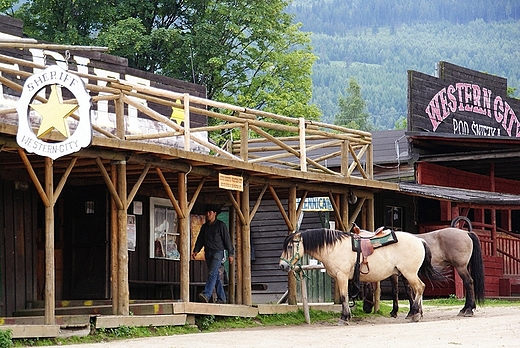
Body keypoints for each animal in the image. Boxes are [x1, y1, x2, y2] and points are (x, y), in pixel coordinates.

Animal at [278, 228, 436, 324]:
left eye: (290, 247)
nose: (282, 265)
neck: (334, 247)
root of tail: (419, 240)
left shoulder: (341, 276)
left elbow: (343, 296)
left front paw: (344, 318)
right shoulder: (341, 278)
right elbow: (346, 297)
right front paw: (347, 316)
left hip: (409, 273)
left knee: (420, 288)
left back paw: (415, 314)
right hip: (408, 274)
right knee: (417, 289)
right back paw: (416, 313)